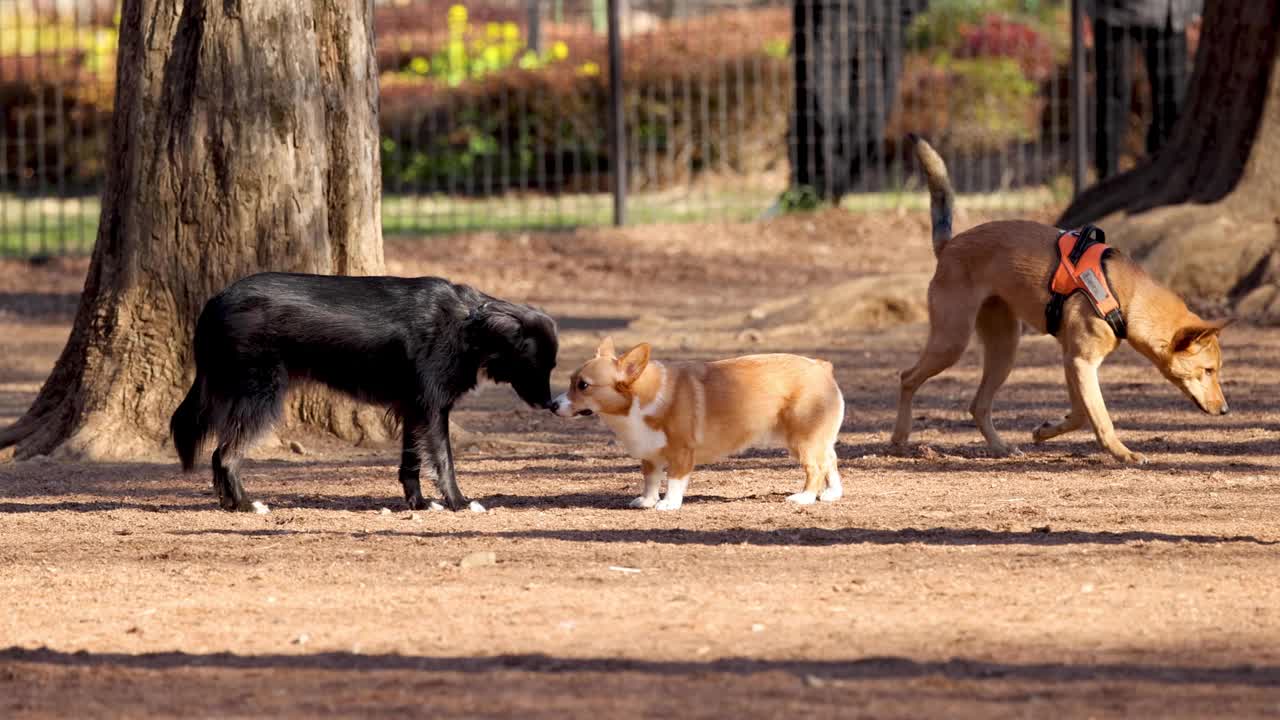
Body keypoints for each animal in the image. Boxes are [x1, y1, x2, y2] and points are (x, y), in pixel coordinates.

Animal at [167, 269, 558, 509]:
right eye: (539, 365)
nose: (551, 404)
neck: (469, 323)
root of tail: (216, 300)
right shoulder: (432, 408)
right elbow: (443, 460)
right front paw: (458, 503)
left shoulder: (413, 407)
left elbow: (411, 462)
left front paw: (418, 504)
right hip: (260, 395)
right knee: (226, 454)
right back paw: (247, 505)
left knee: (217, 454)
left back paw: (229, 505)